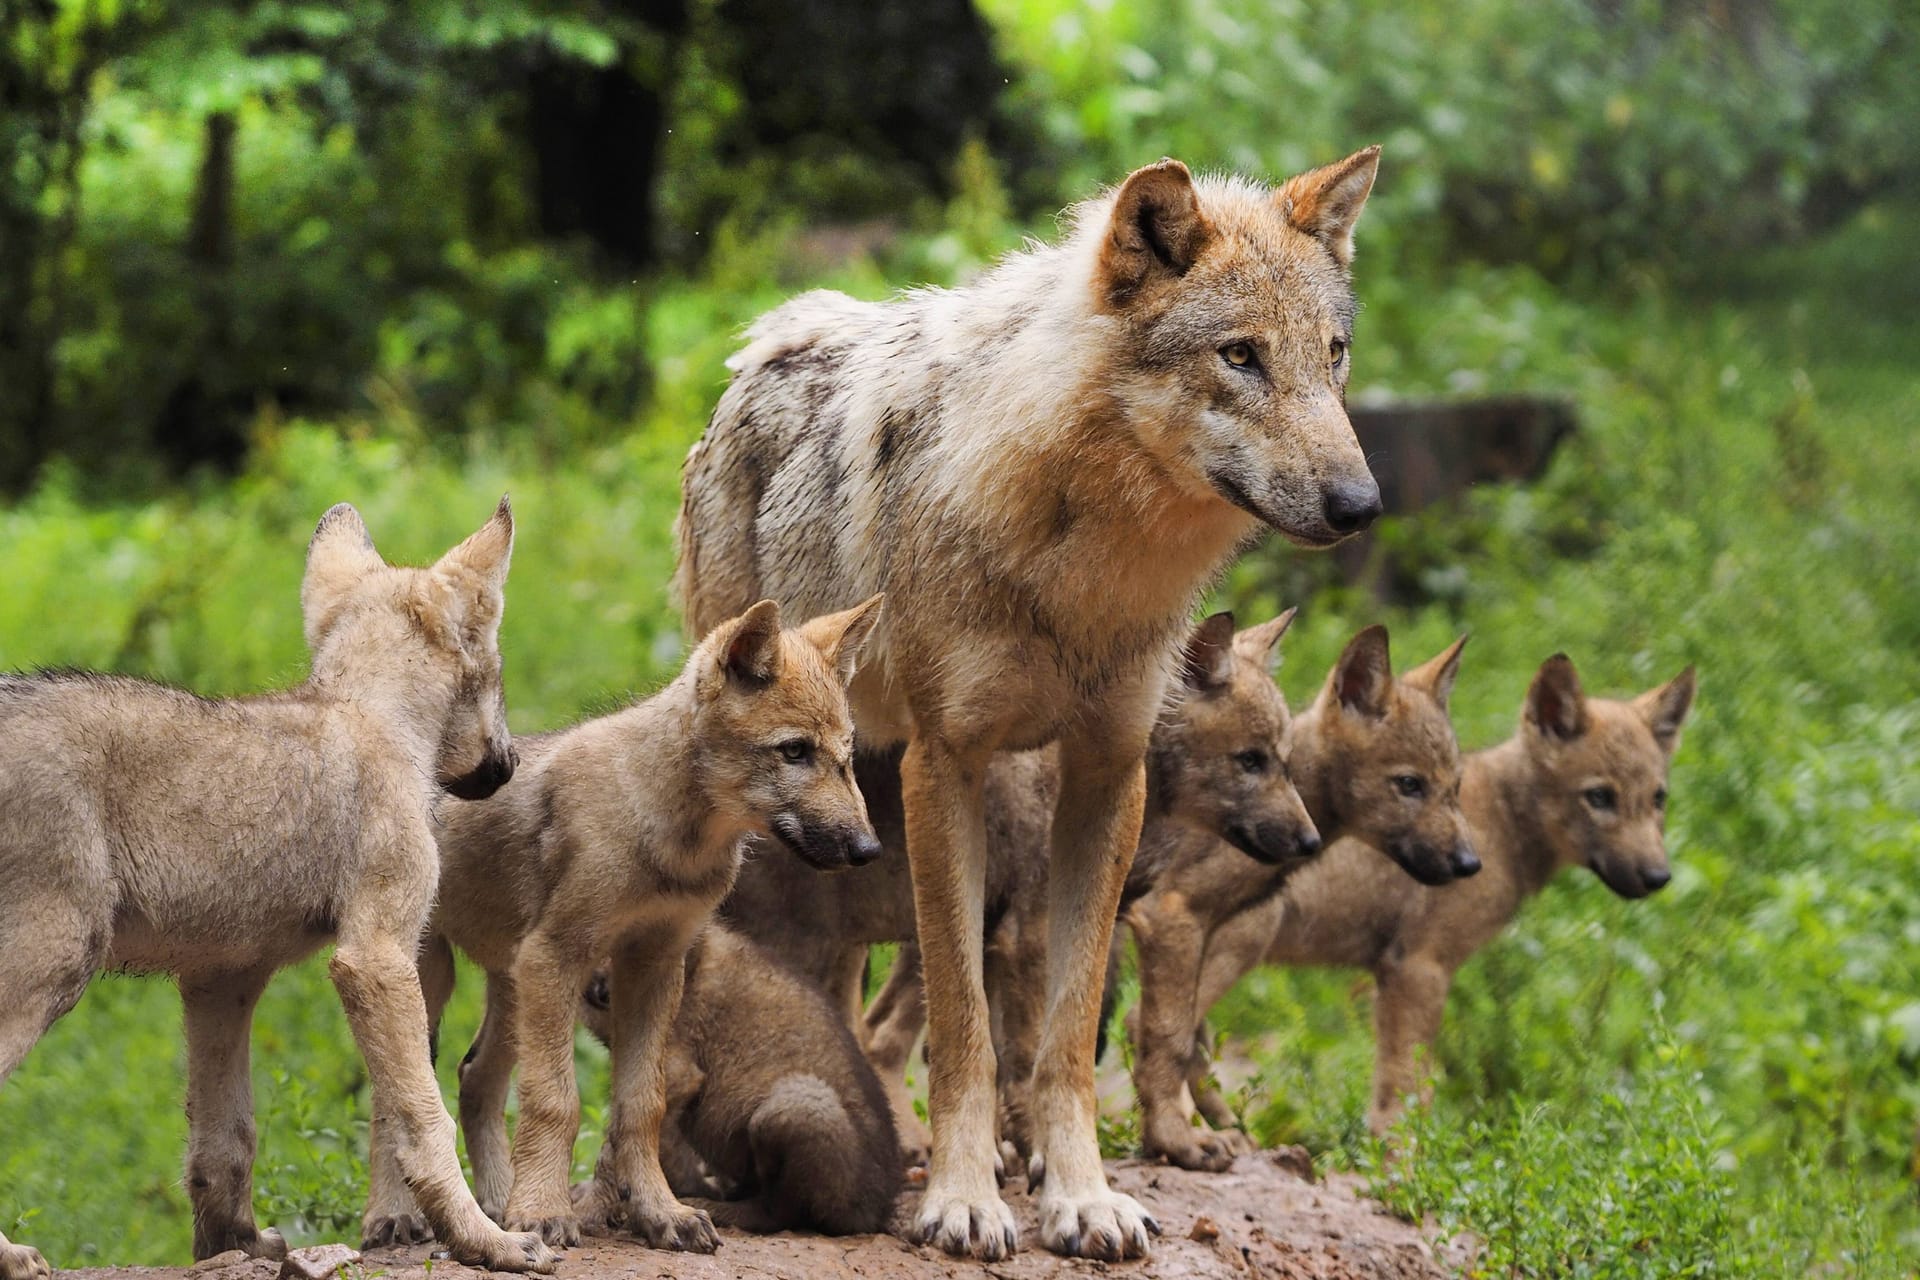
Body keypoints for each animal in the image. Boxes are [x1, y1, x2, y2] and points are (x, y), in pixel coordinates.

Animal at [683, 150, 1390, 1258]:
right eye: (1239, 356)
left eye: (1334, 355)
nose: (1363, 505)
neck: (1085, 566)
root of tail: (772, 339)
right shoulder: (948, 765)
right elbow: (967, 1025)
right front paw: (965, 1197)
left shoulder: (1107, 774)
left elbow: (1066, 1027)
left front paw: (1082, 1195)